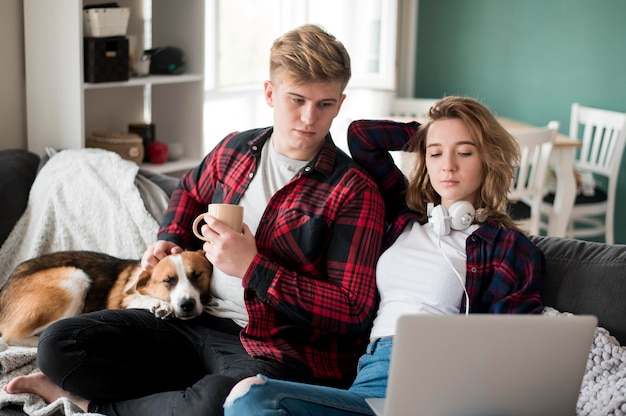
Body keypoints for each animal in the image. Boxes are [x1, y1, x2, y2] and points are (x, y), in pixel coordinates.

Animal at [0, 250, 212, 344]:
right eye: (168, 281)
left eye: (197, 275)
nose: (186, 305)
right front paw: (159, 304)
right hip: (75, 278)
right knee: (10, 337)